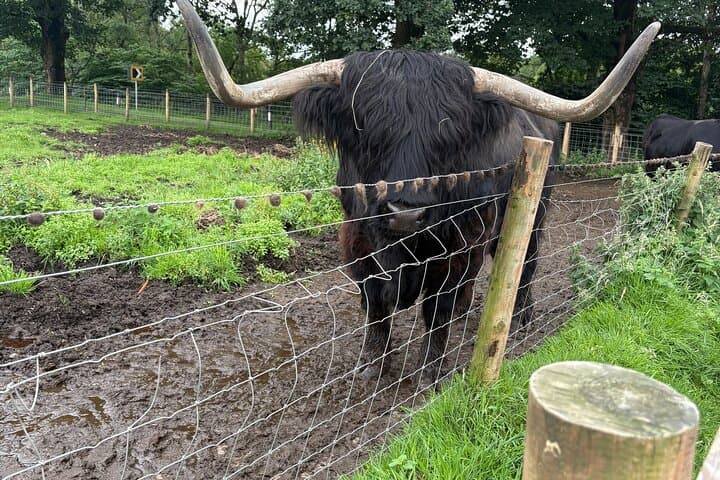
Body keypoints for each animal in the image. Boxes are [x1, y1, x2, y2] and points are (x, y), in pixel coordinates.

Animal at [177, 0, 659, 383]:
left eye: (448, 135)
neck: (403, 248)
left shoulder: (456, 253)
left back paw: (522, 320)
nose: (405, 212)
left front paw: (433, 371)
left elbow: (436, 314)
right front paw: (373, 366)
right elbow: (376, 312)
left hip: (533, 217)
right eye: (364, 128)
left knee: (525, 267)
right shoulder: (358, 251)